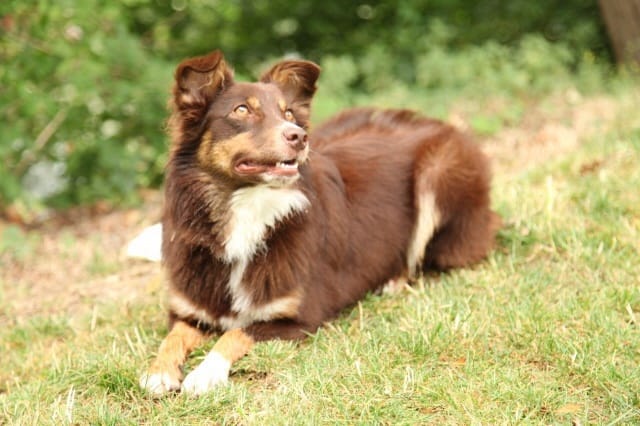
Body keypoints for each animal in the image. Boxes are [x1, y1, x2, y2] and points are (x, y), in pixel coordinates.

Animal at [139, 50, 501, 395]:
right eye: (241, 110)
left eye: (287, 114)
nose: (298, 136)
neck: (244, 210)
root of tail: (444, 124)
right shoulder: (189, 312)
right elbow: (172, 337)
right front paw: (158, 371)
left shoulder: (299, 318)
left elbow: (236, 333)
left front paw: (205, 374)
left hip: (438, 172)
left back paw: (393, 280)